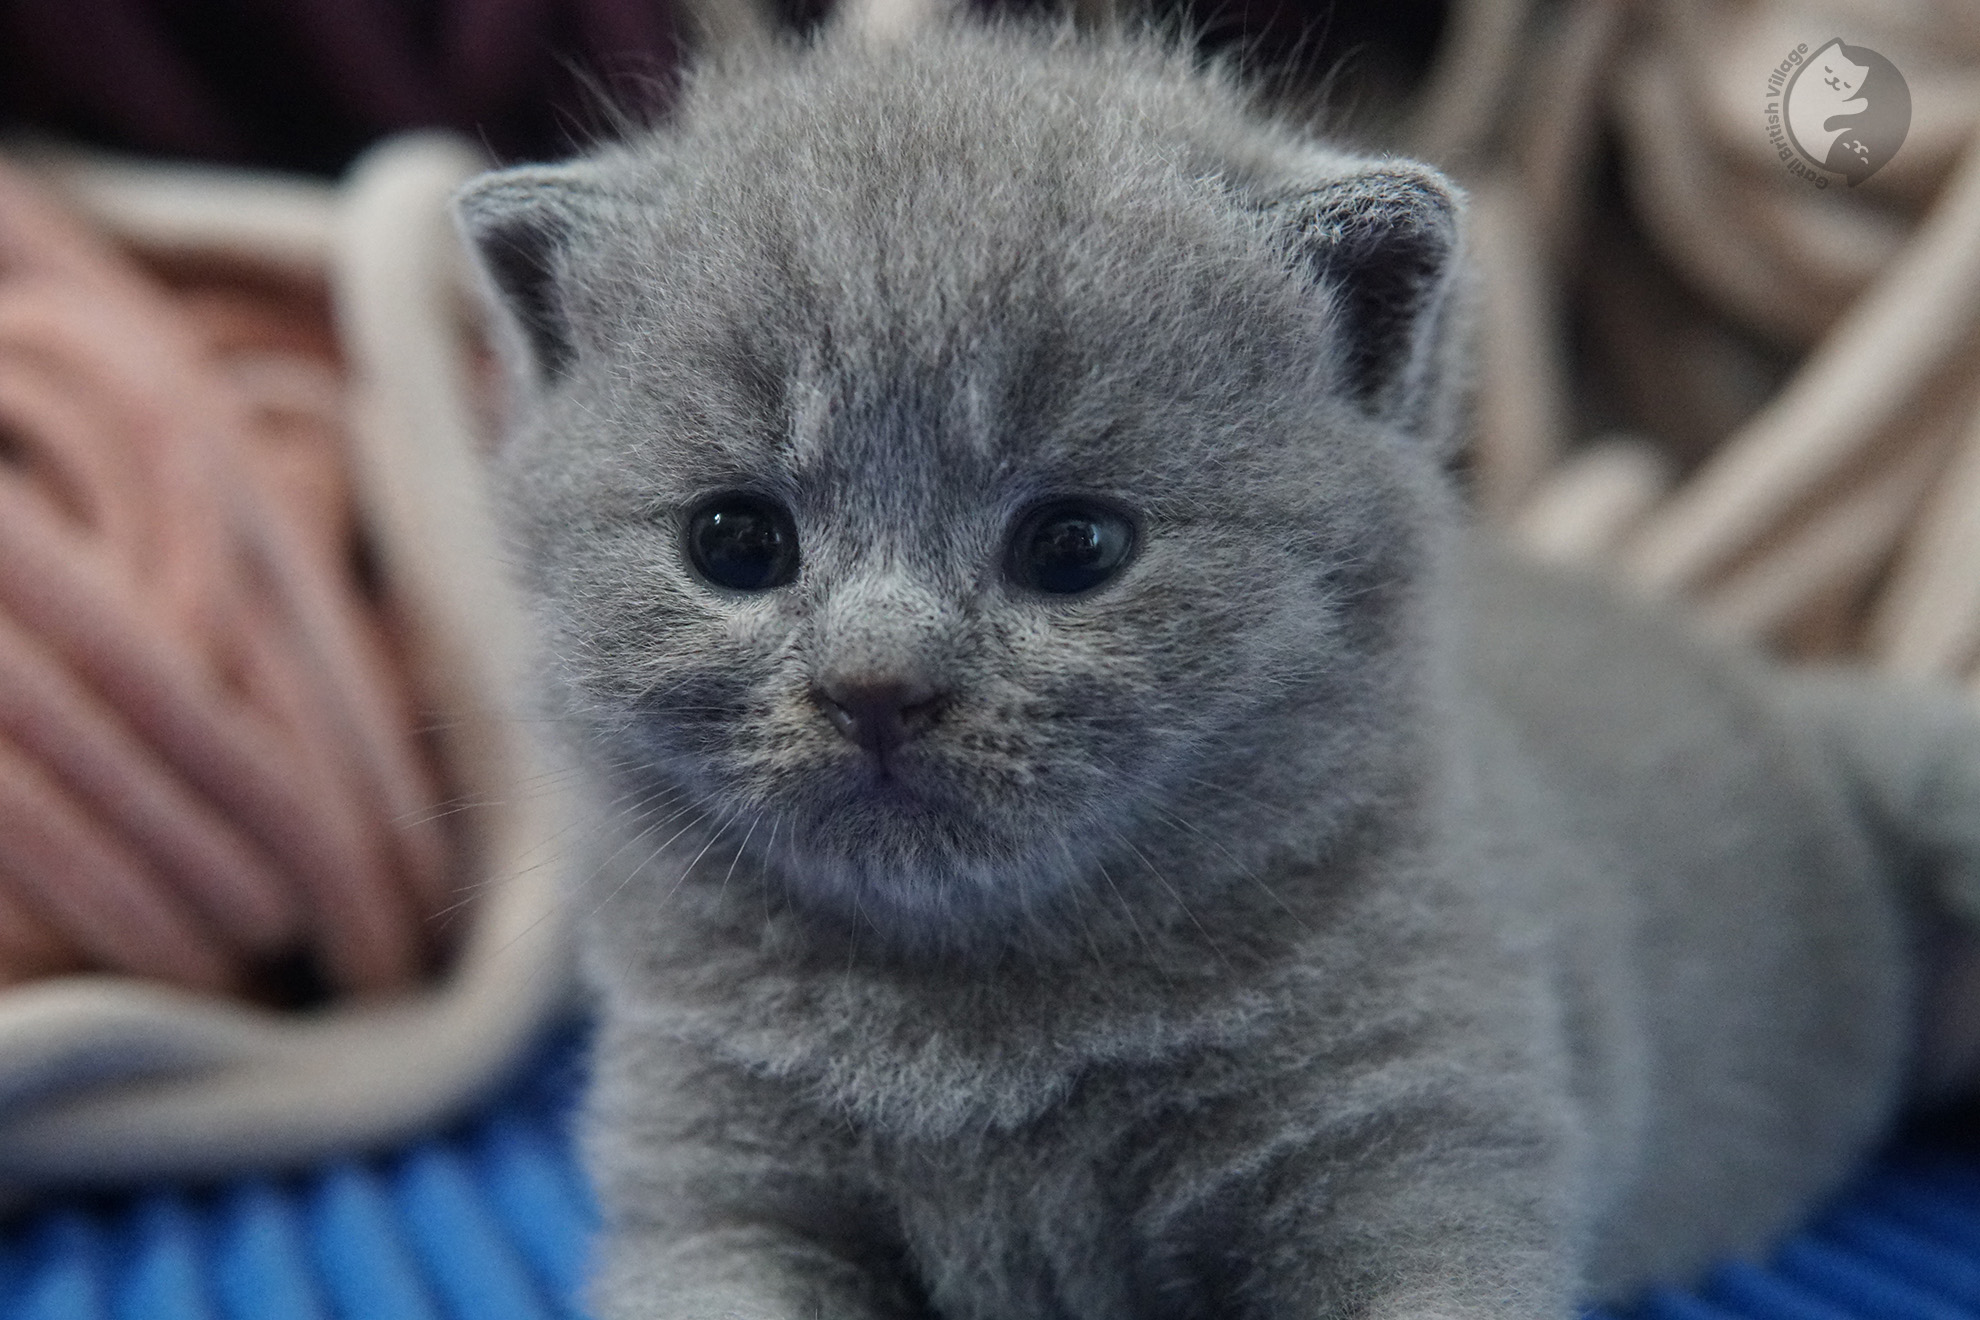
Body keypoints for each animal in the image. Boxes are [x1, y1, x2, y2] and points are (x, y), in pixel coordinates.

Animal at [455, 18, 1980, 1320]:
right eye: (736, 541)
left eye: (1074, 545)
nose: (878, 684)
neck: (974, 1020)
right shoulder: (717, 1190)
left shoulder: (1414, 1136)